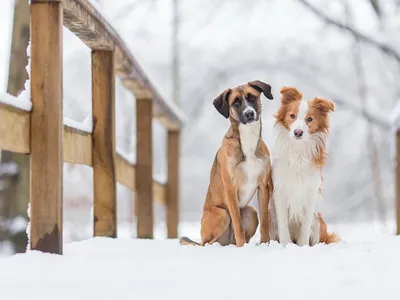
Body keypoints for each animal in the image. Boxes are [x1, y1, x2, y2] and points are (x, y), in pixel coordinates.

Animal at [180, 81, 274, 247]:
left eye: (252, 97)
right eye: (235, 103)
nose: (249, 114)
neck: (247, 138)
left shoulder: (263, 186)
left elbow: (264, 223)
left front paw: (265, 244)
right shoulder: (230, 188)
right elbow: (237, 223)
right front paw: (243, 247)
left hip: (250, 211)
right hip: (222, 214)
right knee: (207, 243)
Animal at [270, 86, 340, 246]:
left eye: (309, 119)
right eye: (292, 116)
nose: (298, 132)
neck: (298, 151)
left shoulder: (311, 192)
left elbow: (305, 225)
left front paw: (302, 246)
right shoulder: (280, 190)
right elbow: (283, 223)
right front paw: (285, 245)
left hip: (319, 222)